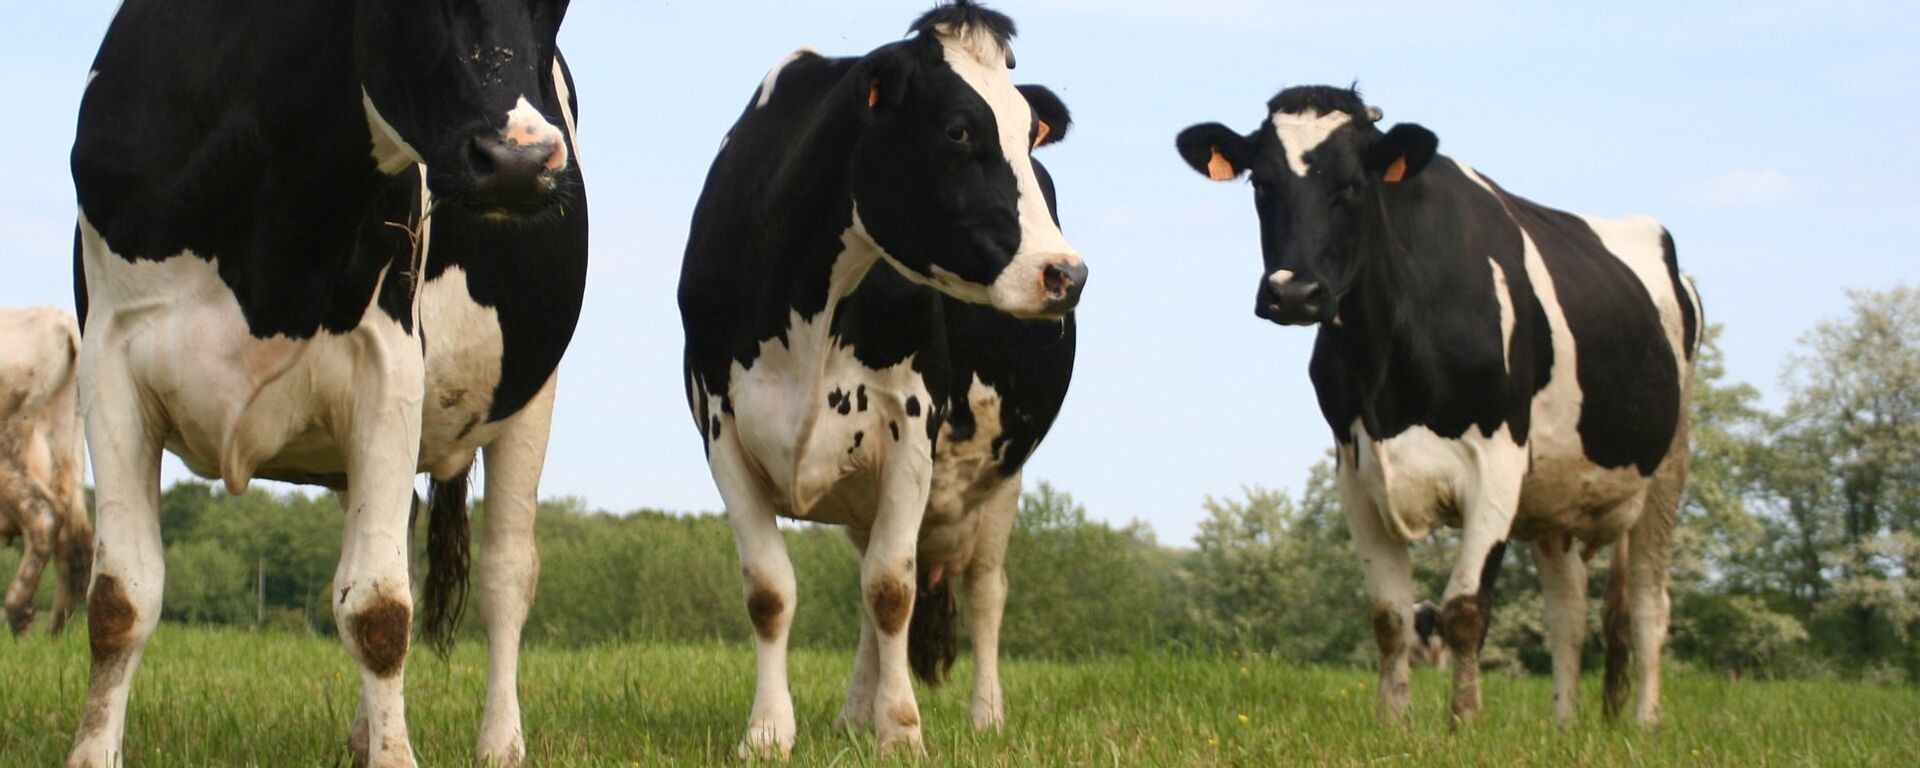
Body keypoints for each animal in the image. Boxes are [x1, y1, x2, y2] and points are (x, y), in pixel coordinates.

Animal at [0, 307, 94, 637]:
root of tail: (57, 318)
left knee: (43, 515)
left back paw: (20, 617)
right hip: (68, 438)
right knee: (76, 540)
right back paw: (54, 636)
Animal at [68, 2, 586, 766]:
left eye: (560, 5)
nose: (521, 160)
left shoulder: (390, 367)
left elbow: (379, 610)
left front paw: (398, 756)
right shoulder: (108, 359)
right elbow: (119, 599)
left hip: (530, 392)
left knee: (506, 575)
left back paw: (499, 744)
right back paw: (366, 735)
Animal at [678, 1, 1086, 757]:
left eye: (1029, 136)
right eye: (958, 129)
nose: (1066, 274)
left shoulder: (911, 428)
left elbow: (893, 590)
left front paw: (901, 733)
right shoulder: (720, 426)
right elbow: (770, 592)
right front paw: (769, 733)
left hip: (1002, 476)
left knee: (985, 592)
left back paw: (984, 715)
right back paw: (851, 715)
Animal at [1177, 85, 1699, 728]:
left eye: (1355, 184)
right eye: (1261, 182)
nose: (1293, 294)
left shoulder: (1498, 461)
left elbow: (1465, 610)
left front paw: (1464, 722)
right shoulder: (1355, 470)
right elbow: (1390, 615)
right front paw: (1391, 720)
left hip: (1667, 467)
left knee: (1649, 605)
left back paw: (1645, 723)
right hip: (1557, 498)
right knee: (1569, 612)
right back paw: (1562, 726)